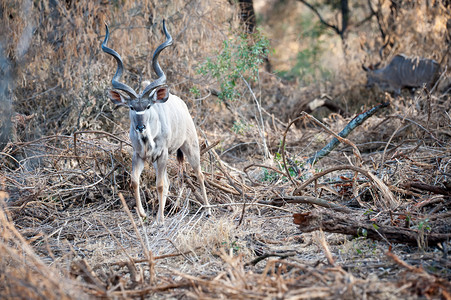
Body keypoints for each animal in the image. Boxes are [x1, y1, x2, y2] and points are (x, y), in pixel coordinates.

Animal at [103, 20, 213, 223]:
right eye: (131, 107)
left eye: (148, 106)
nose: (140, 126)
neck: (148, 137)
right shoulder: (139, 155)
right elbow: (134, 181)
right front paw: (142, 214)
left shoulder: (162, 154)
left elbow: (160, 185)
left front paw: (159, 219)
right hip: (158, 159)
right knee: (170, 181)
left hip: (190, 147)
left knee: (199, 175)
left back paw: (208, 210)